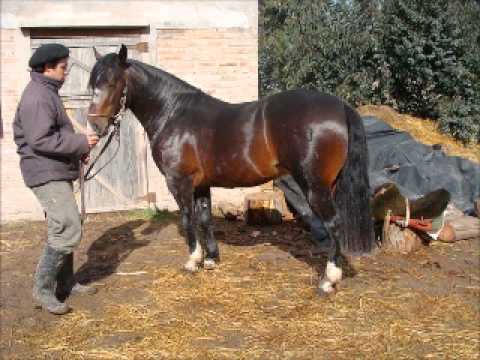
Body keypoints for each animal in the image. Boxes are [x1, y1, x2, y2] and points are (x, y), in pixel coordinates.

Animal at [88, 44, 376, 296]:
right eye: (93, 85)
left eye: (112, 83)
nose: (94, 127)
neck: (172, 113)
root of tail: (340, 106)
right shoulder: (201, 184)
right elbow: (205, 219)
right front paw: (211, 259)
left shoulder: (179, 181)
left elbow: (187, 218)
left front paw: (193, 261)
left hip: (315, 186)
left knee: (333, 223)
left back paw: (328, 280)